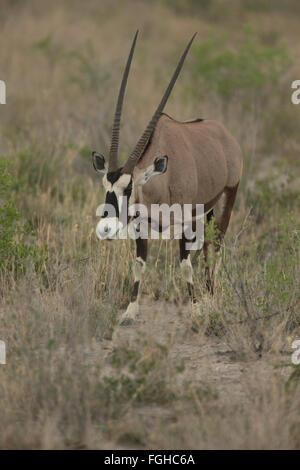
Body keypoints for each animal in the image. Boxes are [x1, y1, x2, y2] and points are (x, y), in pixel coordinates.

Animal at [92, 31, 243, 324]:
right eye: (106, 185)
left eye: (129, 188)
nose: (107, 229)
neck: (160, 179)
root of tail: (225, 135)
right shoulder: (141, 225)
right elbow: (139, 263)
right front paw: (130, 310)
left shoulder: (184, 221)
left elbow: (184, 263)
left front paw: (195, 308)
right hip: (207, 210)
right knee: (208, 247)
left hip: (226, 198)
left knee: (217, 245)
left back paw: (212, 297)